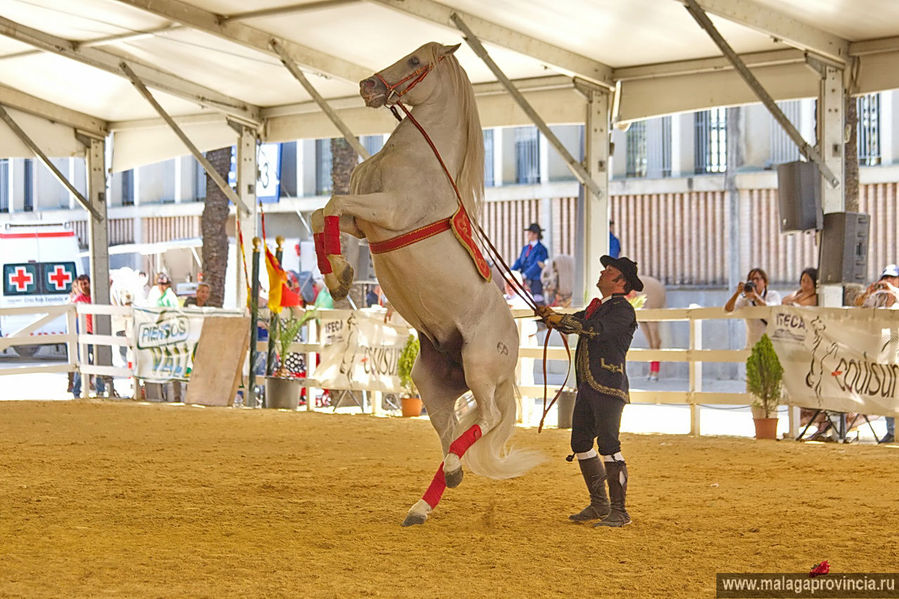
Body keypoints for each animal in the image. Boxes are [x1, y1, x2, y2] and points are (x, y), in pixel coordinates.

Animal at [312, 42, 540, 528]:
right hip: (433, 383)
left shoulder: (387, 211)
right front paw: (338, 276)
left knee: (487, 416)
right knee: (450, 429)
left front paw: (339, 276)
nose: (368, 86)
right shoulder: (363, 221)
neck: (416, 160)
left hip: (479, 366)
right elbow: (325, 214)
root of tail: (514, 341)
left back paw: (450, 472)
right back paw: (428, 499)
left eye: (416, 61)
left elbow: (334, 203)